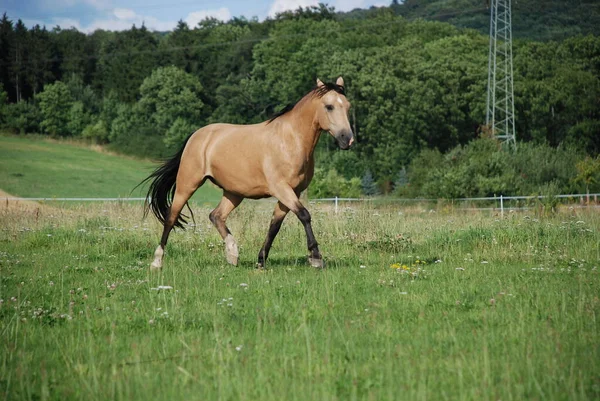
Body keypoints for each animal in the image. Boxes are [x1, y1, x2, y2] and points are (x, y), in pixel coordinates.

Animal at [141, 76, 354, 268]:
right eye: (329, 106)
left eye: (348, 106)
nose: (347, 139)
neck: (290, 140)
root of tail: (196, 135)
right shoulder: (281, 189)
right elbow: (304, 215)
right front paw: (316, 258)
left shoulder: (293, 192)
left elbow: (274, 225)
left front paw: (261, 261)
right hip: (187, 184)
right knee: (171, 217)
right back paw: (157, 262)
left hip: (234, 192)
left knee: (216, 215)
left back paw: (232, 254)